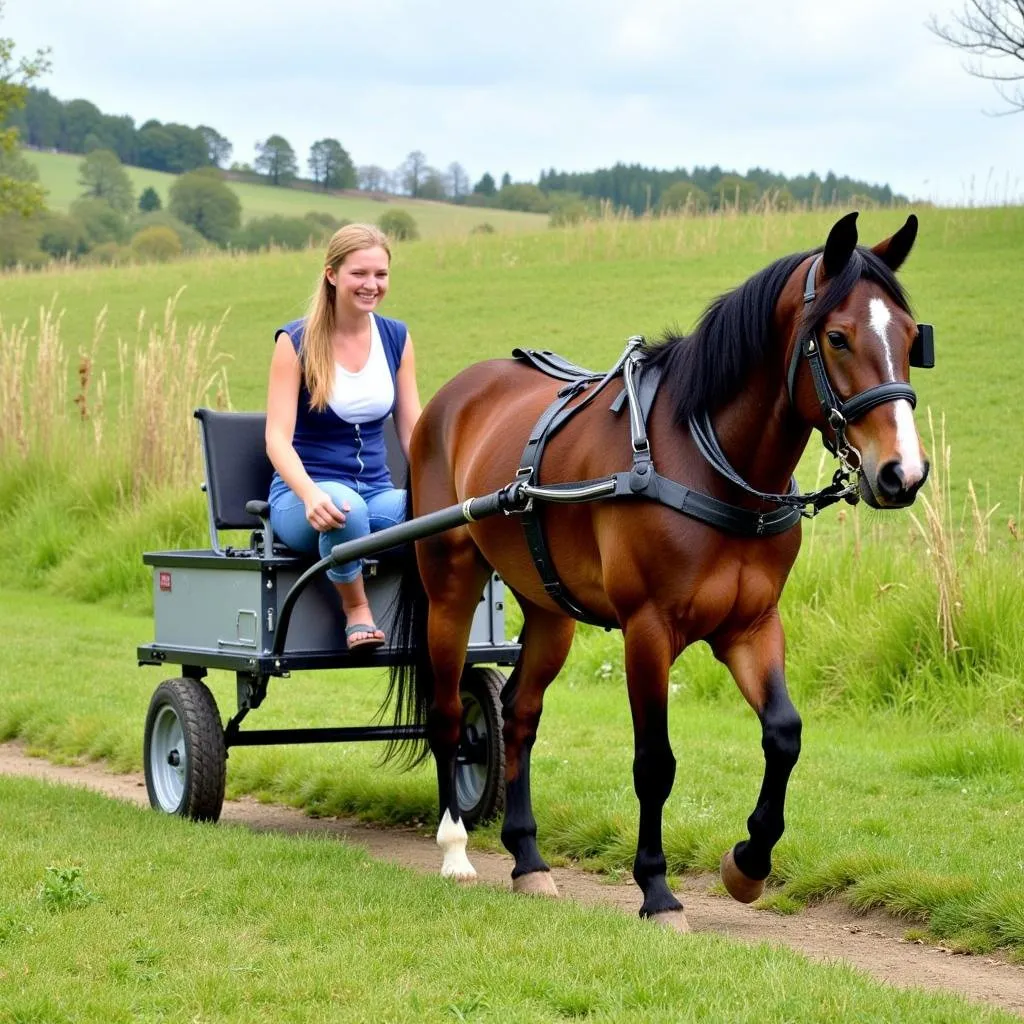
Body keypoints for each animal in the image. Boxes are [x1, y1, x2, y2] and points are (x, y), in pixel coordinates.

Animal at [387, 209, 933, 929]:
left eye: (910, 335)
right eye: (838, 337)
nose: (903, 473)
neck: (710, 460)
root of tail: (454, 396)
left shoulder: (752, 626)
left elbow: (784, 734)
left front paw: (748, 863)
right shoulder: (648, 631)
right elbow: (655, 762)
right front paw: (657, 889)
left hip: (549, 611)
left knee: (520, 714)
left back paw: (528, 860)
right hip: (450, 587)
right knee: (450, 714)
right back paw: (454, 848)